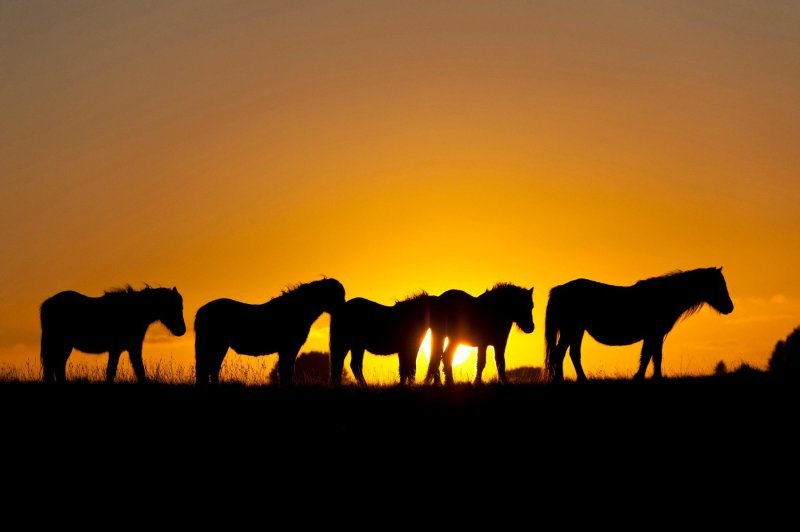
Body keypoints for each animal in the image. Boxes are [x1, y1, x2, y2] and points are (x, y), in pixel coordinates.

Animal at [39, 286, 187, 382]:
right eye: (175, 307)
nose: (182, 330)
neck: (136, 312)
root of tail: (48, 302)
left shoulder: (126, 349)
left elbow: (129, 370)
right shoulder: (124, 349)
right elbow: (130, 370)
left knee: (56, 366)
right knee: (55, 365)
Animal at [195, 278, 346, 386]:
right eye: (337, 295)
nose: (343, 308)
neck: (297, 309)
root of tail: (202, 311)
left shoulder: (286, 350)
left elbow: (286, 370)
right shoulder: (288, 349)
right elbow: (286, 370)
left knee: (210, 368)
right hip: (217, 345)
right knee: (210, 368)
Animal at [548, 268, 736, 380]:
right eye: (718, 285)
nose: (730, 307)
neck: (666, 296)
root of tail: (560, 289)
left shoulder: (656, 335)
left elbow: (652, 357)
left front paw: (649, 377)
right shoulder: (654, 334)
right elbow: (650, 357)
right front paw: (645, 377)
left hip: (576, 330)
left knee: (571, 354)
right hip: (571, 330)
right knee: (560, 353)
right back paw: (562, 381)